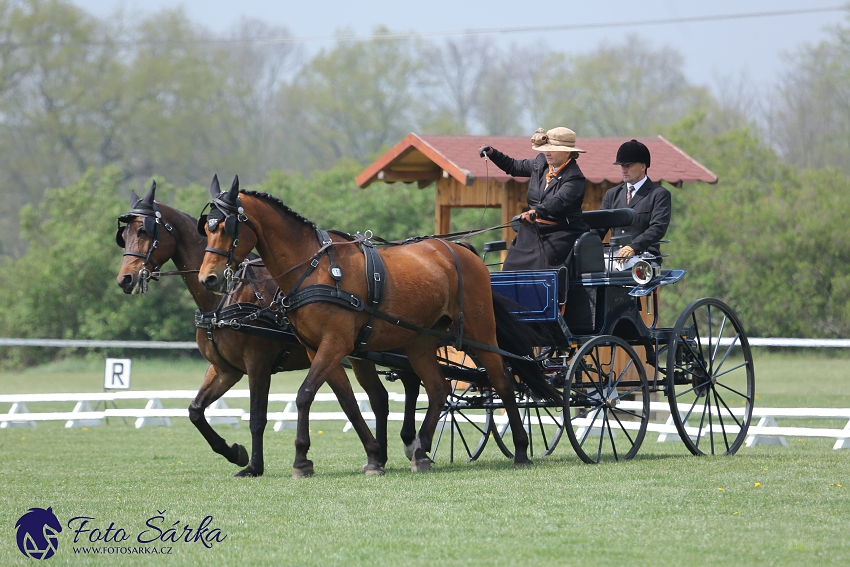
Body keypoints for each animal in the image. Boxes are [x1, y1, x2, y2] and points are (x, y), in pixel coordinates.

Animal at [114, 180, 420, 478]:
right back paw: (383, 454)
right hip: (360, 355)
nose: (125, 280)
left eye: (144, 230)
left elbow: (257, 417)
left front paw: (254, 466)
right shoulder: (225, 369)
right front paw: (235, 453)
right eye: (124, 236)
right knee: (380, 397)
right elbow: (196, 411)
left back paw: (413, 445)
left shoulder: (257, 362)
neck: (225, 299)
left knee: (413, 383)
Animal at [195, 178, 560, 480]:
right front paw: (371, 457)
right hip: (420, 342)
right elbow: (348, 402)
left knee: (503, 381)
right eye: (206, 229)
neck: (314, 269)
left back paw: (521, 449)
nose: (207, 278)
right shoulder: (318, 349)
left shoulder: (333, 344)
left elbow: (304, 394)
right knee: (438, 388)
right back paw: (421, 451)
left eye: (227, 227)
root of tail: (459, 249)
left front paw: (300, 460)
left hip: (479, 332)